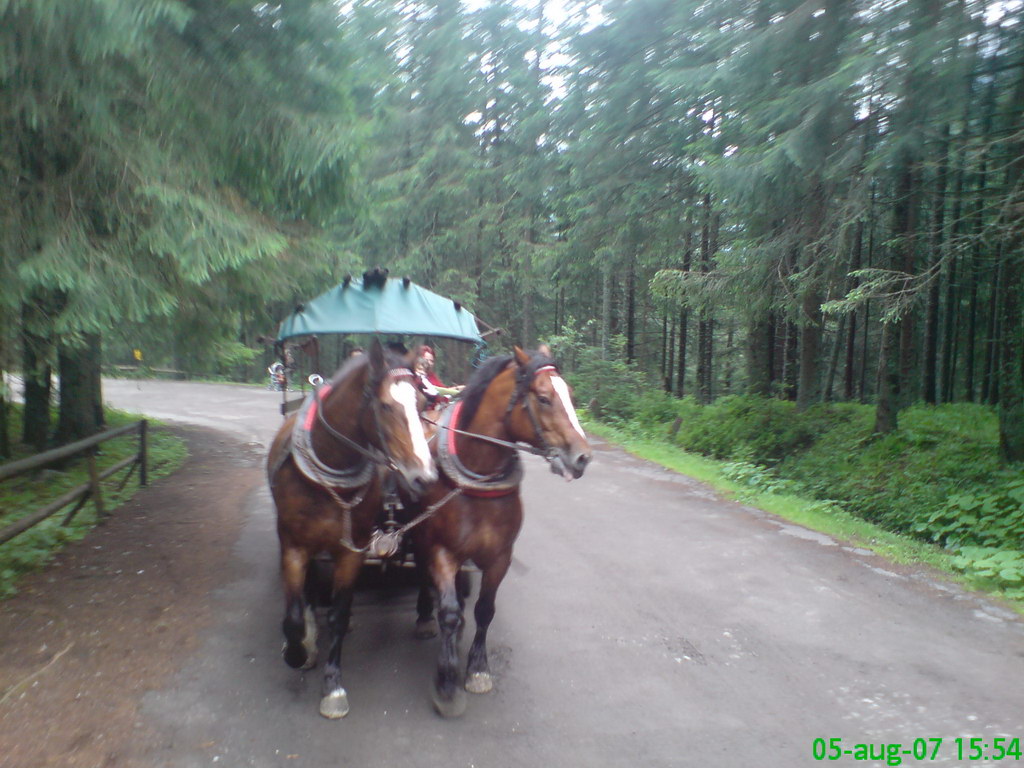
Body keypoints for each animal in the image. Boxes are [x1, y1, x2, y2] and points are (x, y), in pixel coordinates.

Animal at [266, 342, 434, 720]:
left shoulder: (352, 550)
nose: (424, 478)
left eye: (421, 403)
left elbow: (339, 615)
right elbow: (293, 617)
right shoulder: (293, 546)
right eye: (384, 406)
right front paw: (298, 651)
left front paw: (333, 686)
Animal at [409, 346, 593, 720]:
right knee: (423, 576)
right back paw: (424, 617)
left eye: (570, 394)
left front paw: (477, 668)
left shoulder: (499, 556)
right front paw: (447, 681)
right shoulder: (442, 551)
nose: (583, 458)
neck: (476, 477)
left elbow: (484, 609)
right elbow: (449, 612)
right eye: (543, 398)